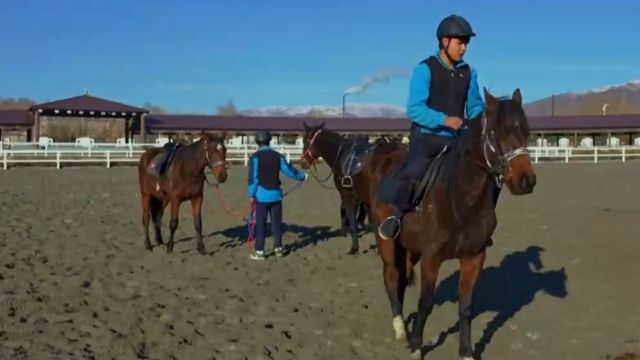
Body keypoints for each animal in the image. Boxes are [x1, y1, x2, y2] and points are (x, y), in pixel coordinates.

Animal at [368, 88, 536, 358]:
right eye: (494, 133)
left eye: (526, 131)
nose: (526, 181)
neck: (460, 201)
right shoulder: (431, 258)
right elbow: (425, 303)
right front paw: (417, 347)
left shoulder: (473, 257)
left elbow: (466, 306)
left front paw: (466, 351)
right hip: (388, 244)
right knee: (392, 277)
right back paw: (400, 328)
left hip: (410, 248)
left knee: (401, 279)